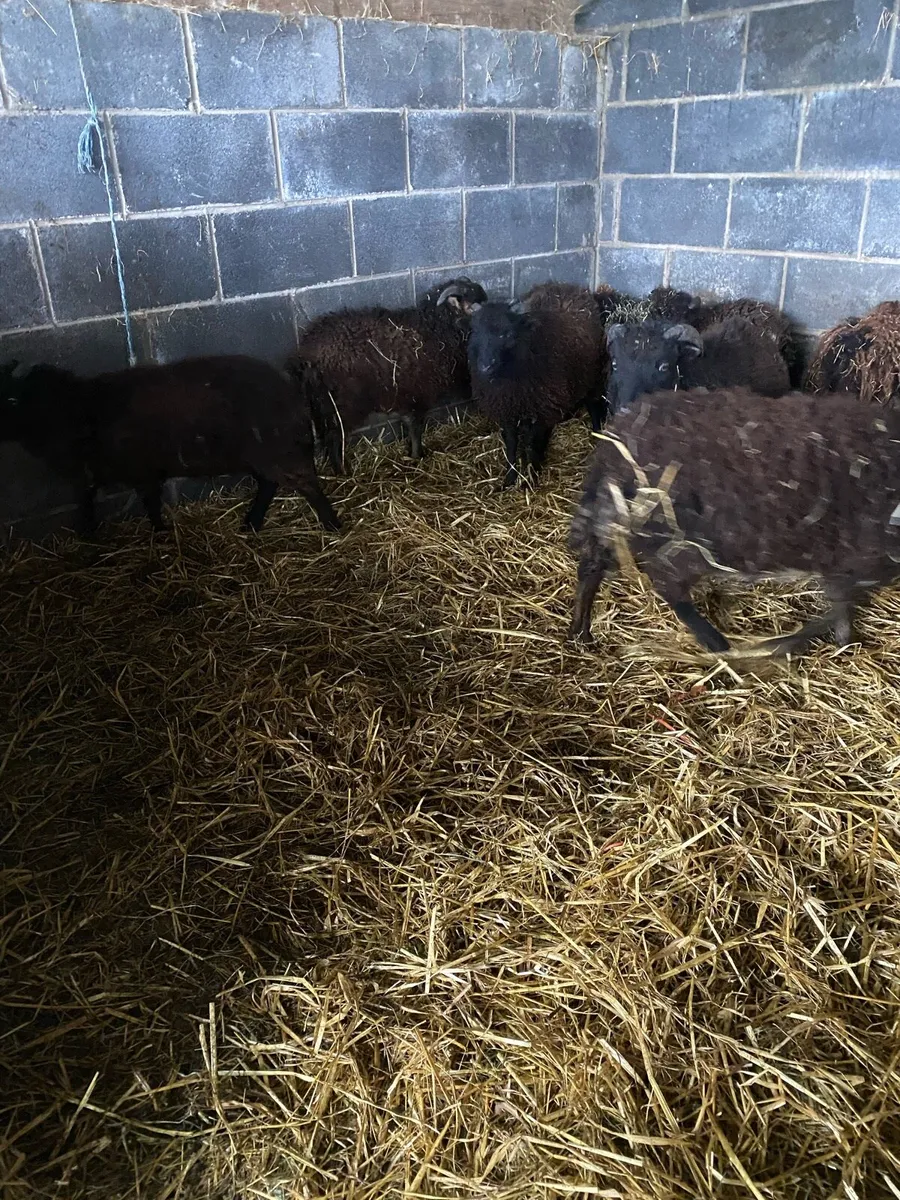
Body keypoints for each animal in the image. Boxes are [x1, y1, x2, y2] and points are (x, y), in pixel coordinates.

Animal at [0, 355, 340, 535]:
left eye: (11, 400)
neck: (76, 412)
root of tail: (291, 387)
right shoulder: (91, 475)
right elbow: (87, 505)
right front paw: (89, 537)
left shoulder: (140, 471)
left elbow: (149, 504)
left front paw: (159, 533)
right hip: (264, 454)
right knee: (269, 485)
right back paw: (252, 524)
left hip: (281, 451)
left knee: (308, 485)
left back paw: (332, 525)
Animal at [289, 277, 487, 474]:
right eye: (472, 306)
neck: (434, 328)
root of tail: (306, 353)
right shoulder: (418, 392)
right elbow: (416, 427)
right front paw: (418, 455)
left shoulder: (409, 395)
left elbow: (408, 423)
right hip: (340, 404)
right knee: (334, 436)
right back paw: (342, 472)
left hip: (321, 404)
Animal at [467, 297, 608, 487]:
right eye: (475, 331)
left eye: (507, 333)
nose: (485, 367)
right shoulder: (506, 411)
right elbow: (511, 444)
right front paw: (509, 479)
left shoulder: (541, 410)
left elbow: (532, 443)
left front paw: (530, 478)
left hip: (591, 376)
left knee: (593, 406)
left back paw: (597, 434)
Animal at [568, 386, 900, 656]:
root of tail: (612, 445)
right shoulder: (853, 566)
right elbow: (838, 611)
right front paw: (807, 643)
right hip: (678, 541)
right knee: (665, 585)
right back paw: (714, 641)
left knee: (593, 562)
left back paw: (581, 631)